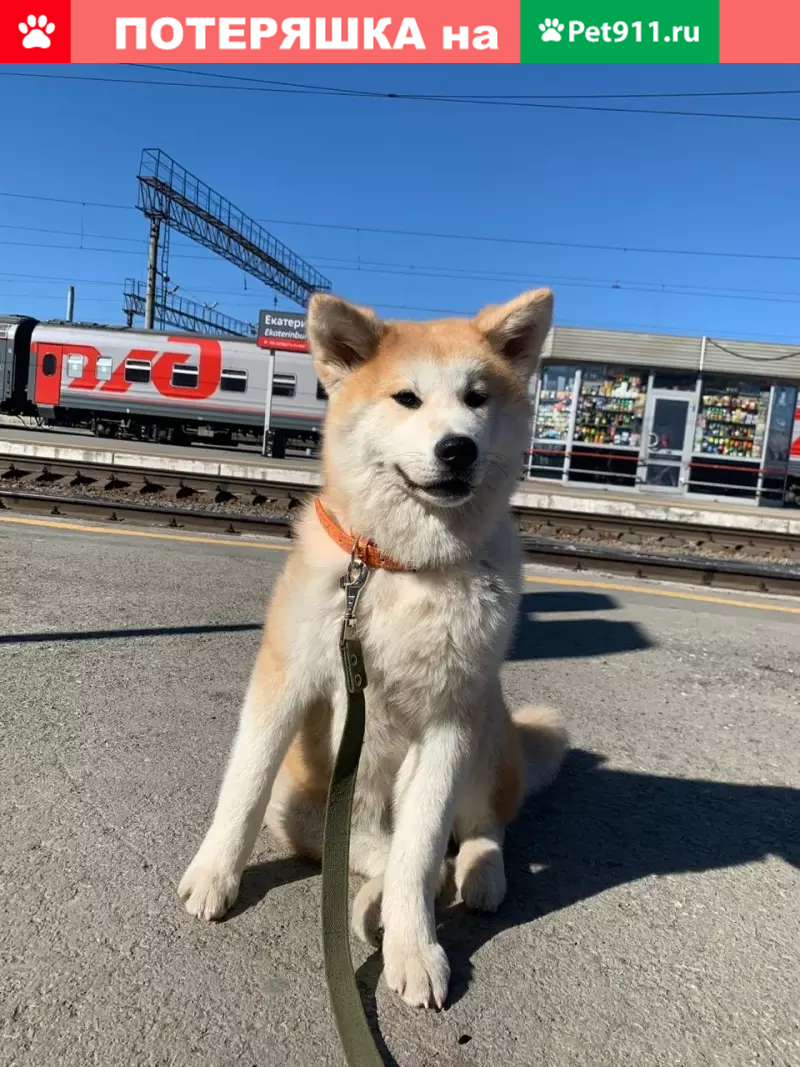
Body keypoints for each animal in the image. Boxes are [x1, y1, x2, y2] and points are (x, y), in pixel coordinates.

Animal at [181, 290, 571, 1007]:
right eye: (406, 398)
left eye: (477, 397)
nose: (457, 449)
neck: (400, 567)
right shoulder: (285, 679)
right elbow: (244, 785)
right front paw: (215, 874)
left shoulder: (449, 719)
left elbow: (422, 846)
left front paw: (414, 948)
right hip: (304, 801)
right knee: (359, 844)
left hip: (485, 727)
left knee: (478, 828)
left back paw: (477, 874)